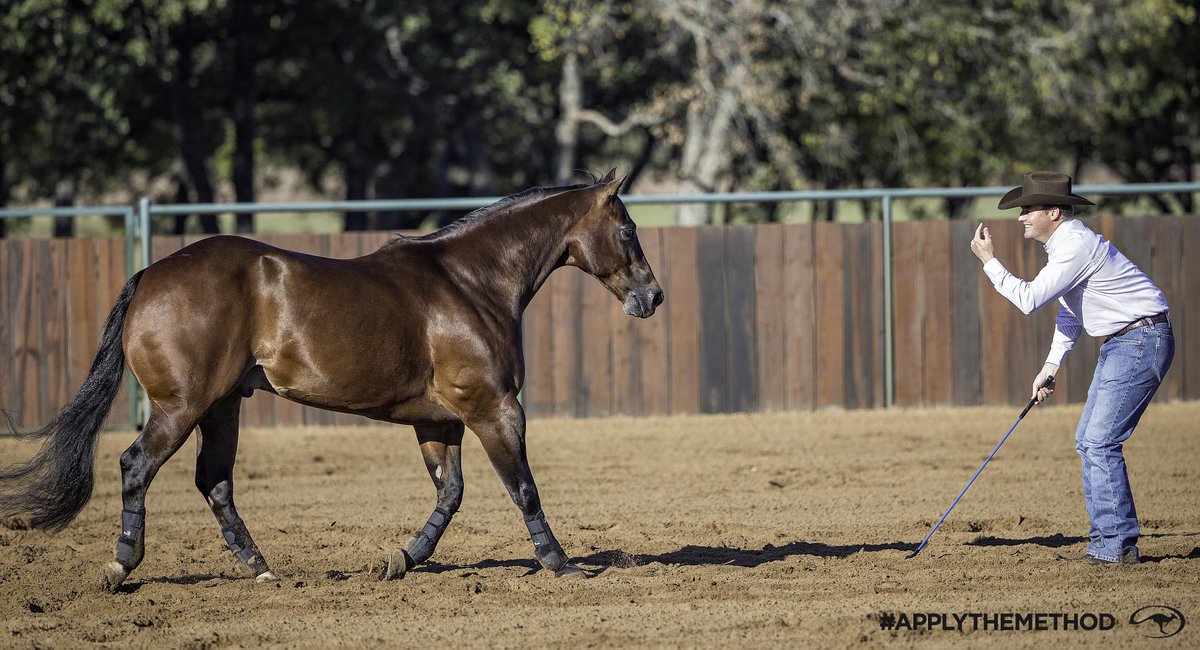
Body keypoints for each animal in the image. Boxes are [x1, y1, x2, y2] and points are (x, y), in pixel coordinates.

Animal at [0, 170, 667, 594]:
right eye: (628, 229)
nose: (653, 296)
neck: (470, 283)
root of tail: (150, 275)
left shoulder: (440, 420)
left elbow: (449, 495)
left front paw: (399, 559)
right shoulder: (494, 408)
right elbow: (523, 489)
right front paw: (563, 566)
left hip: (221, 407)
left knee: (215, 482)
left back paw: (261, 568)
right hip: (180, 406)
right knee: (137, 465)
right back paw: (122, 565)